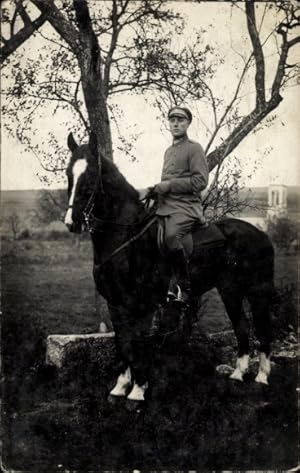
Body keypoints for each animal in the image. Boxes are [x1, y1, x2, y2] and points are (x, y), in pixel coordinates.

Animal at [64, 132, 276, 402]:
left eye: (91, 175)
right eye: (69, 174)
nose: (72, 222)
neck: (127, 238)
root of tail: (260, 233)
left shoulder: (142, 305)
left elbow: (138, 344)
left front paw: (138, 391)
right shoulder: (116, 303)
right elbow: (122, 343)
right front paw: (120, 386)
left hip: (257, 291)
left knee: (264, 328)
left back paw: (262, 377)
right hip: (230, 291)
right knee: (241, 326)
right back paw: (238, 374)